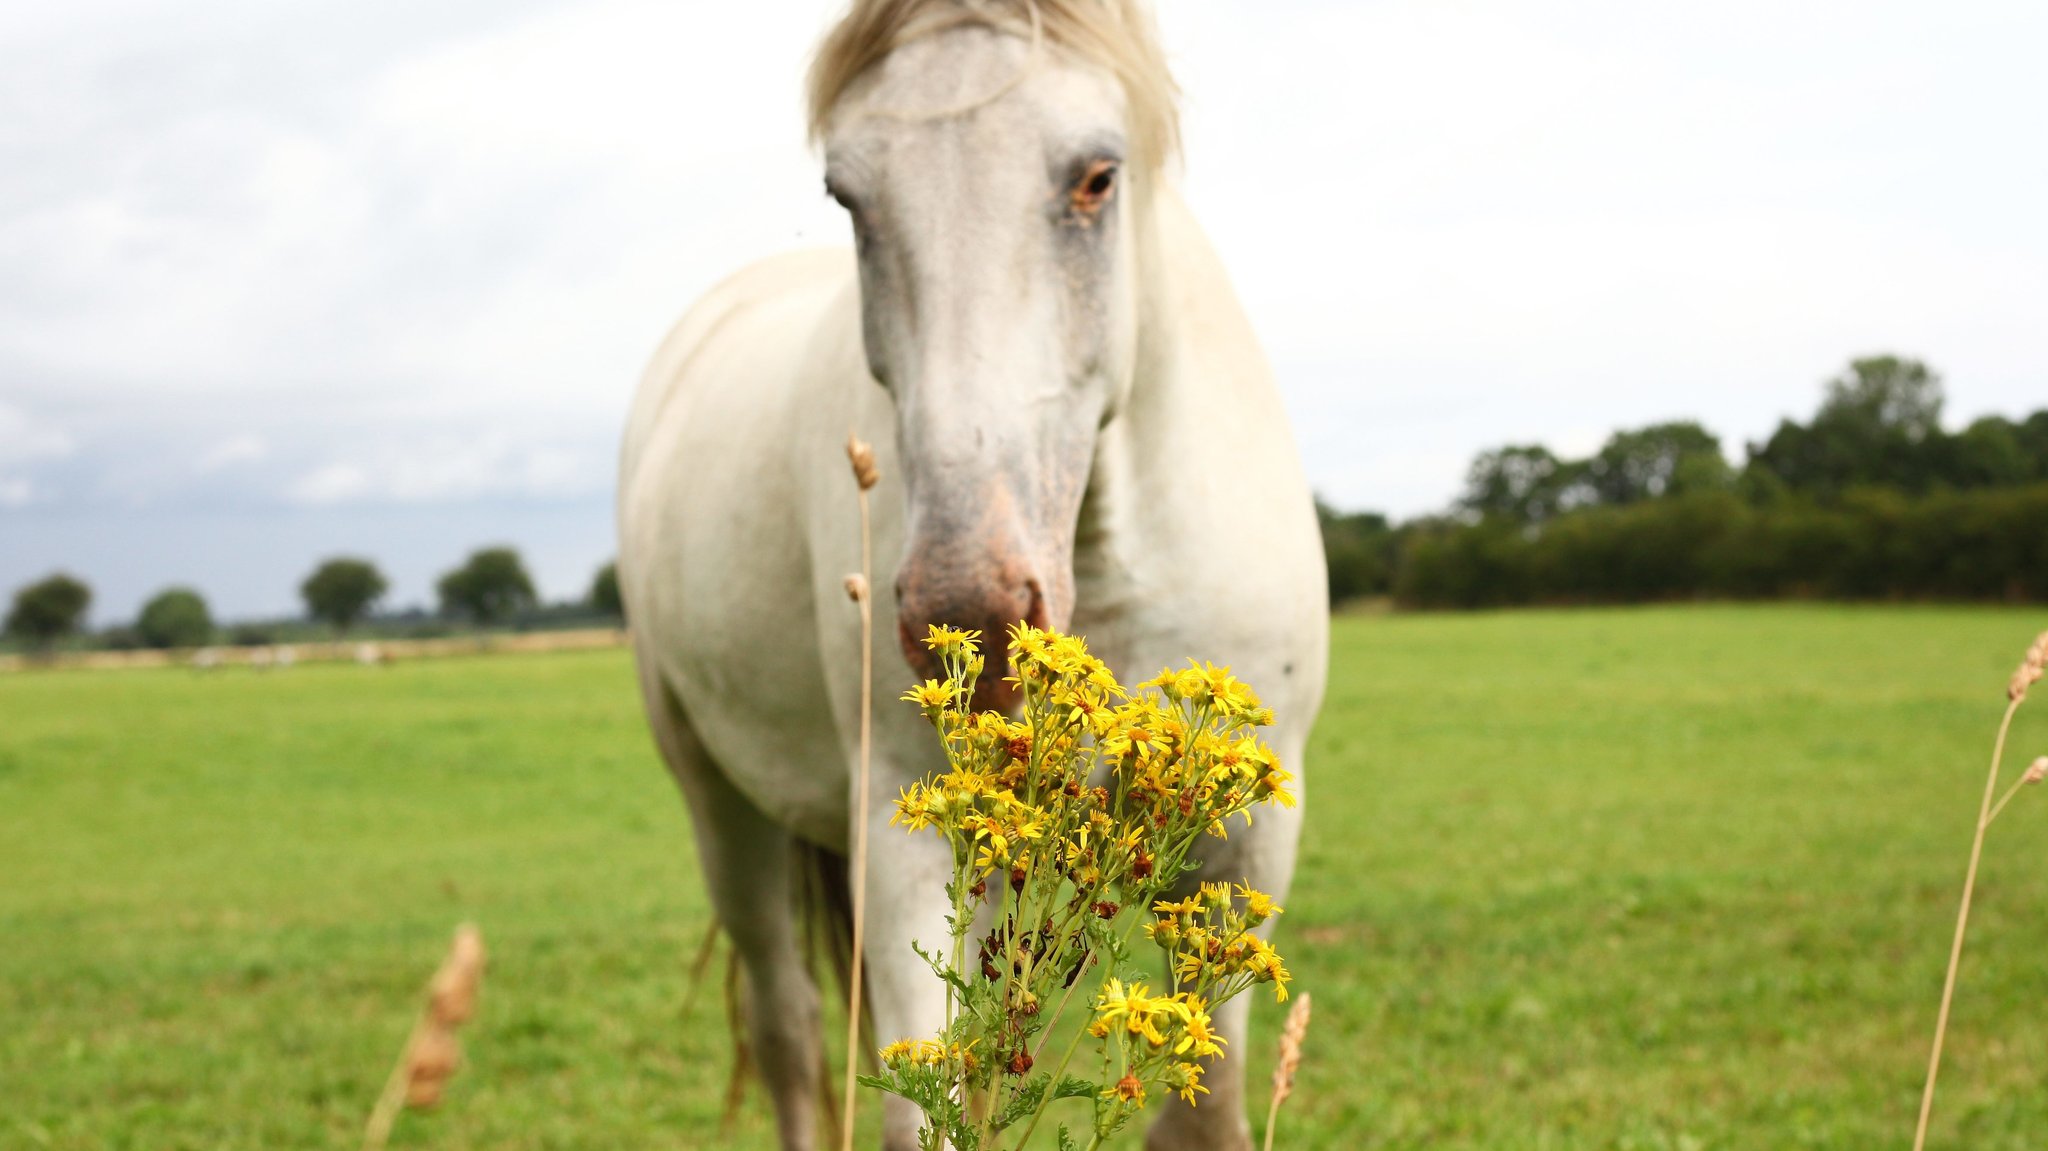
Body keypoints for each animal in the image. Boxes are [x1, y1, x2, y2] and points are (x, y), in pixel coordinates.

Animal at [614, 4, 1335, 1138]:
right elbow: (926, 1099)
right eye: (847, 197)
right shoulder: (902, 825)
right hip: (720, 803)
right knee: (788, 1028)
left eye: (1097, 176)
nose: (976, 614)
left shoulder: (1252, 840)